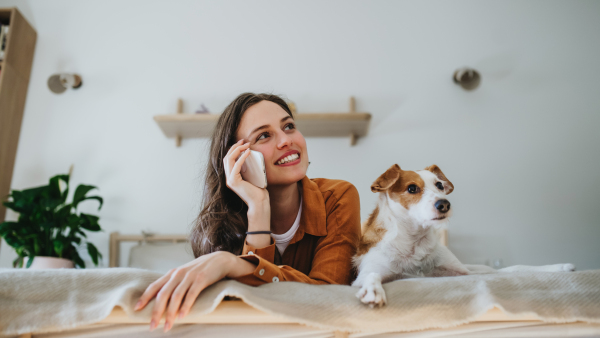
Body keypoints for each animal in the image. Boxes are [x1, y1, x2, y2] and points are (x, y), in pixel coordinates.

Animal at [352, 165, 576, 308]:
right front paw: (373, 290)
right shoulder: (367, 274)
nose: (444, 204)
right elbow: (371, 275)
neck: (414, 241)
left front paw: (558, 268)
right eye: (412, 188)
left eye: (439, 185)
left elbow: (512, 269)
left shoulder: (462, 273)